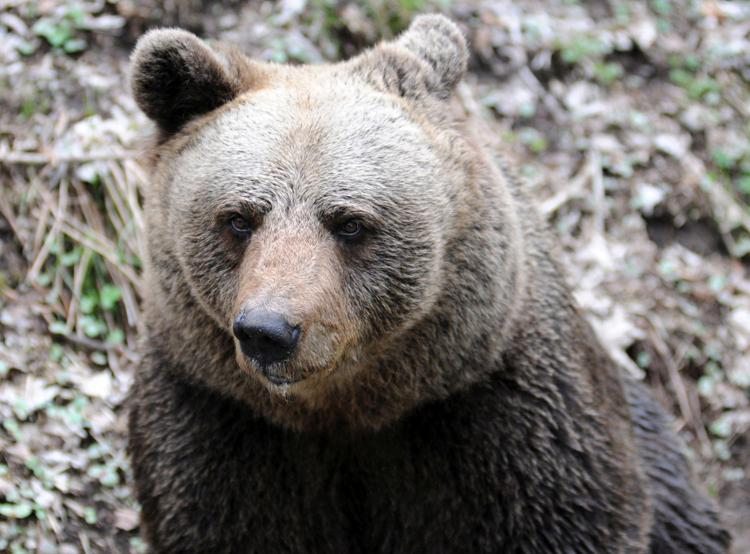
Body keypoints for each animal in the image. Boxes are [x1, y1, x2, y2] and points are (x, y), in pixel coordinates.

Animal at [128, 15, 730, 554]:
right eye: (238, 218)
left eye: (350, 222)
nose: (268, 331)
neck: (349, 409)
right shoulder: (221, 423)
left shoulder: (505, 422)